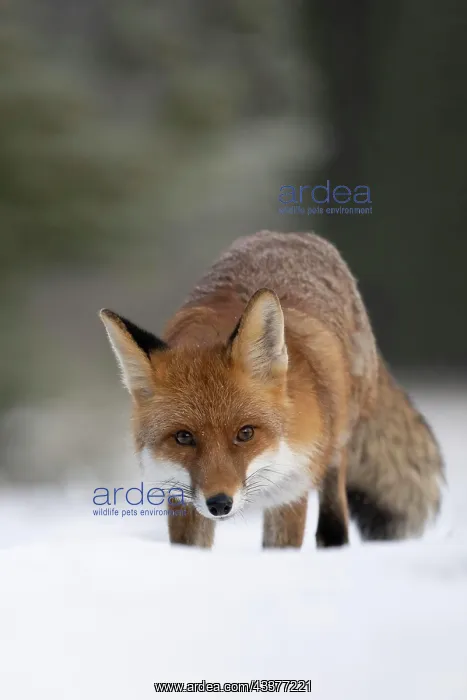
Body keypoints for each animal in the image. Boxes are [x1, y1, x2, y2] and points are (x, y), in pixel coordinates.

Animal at [99, 231, 444, 549]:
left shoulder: (291, 489)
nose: (220, 503)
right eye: (183, 437)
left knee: (334, 517)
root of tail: (288, 235)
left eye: (246, 433)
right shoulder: (180, 494)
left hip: (337, 447)